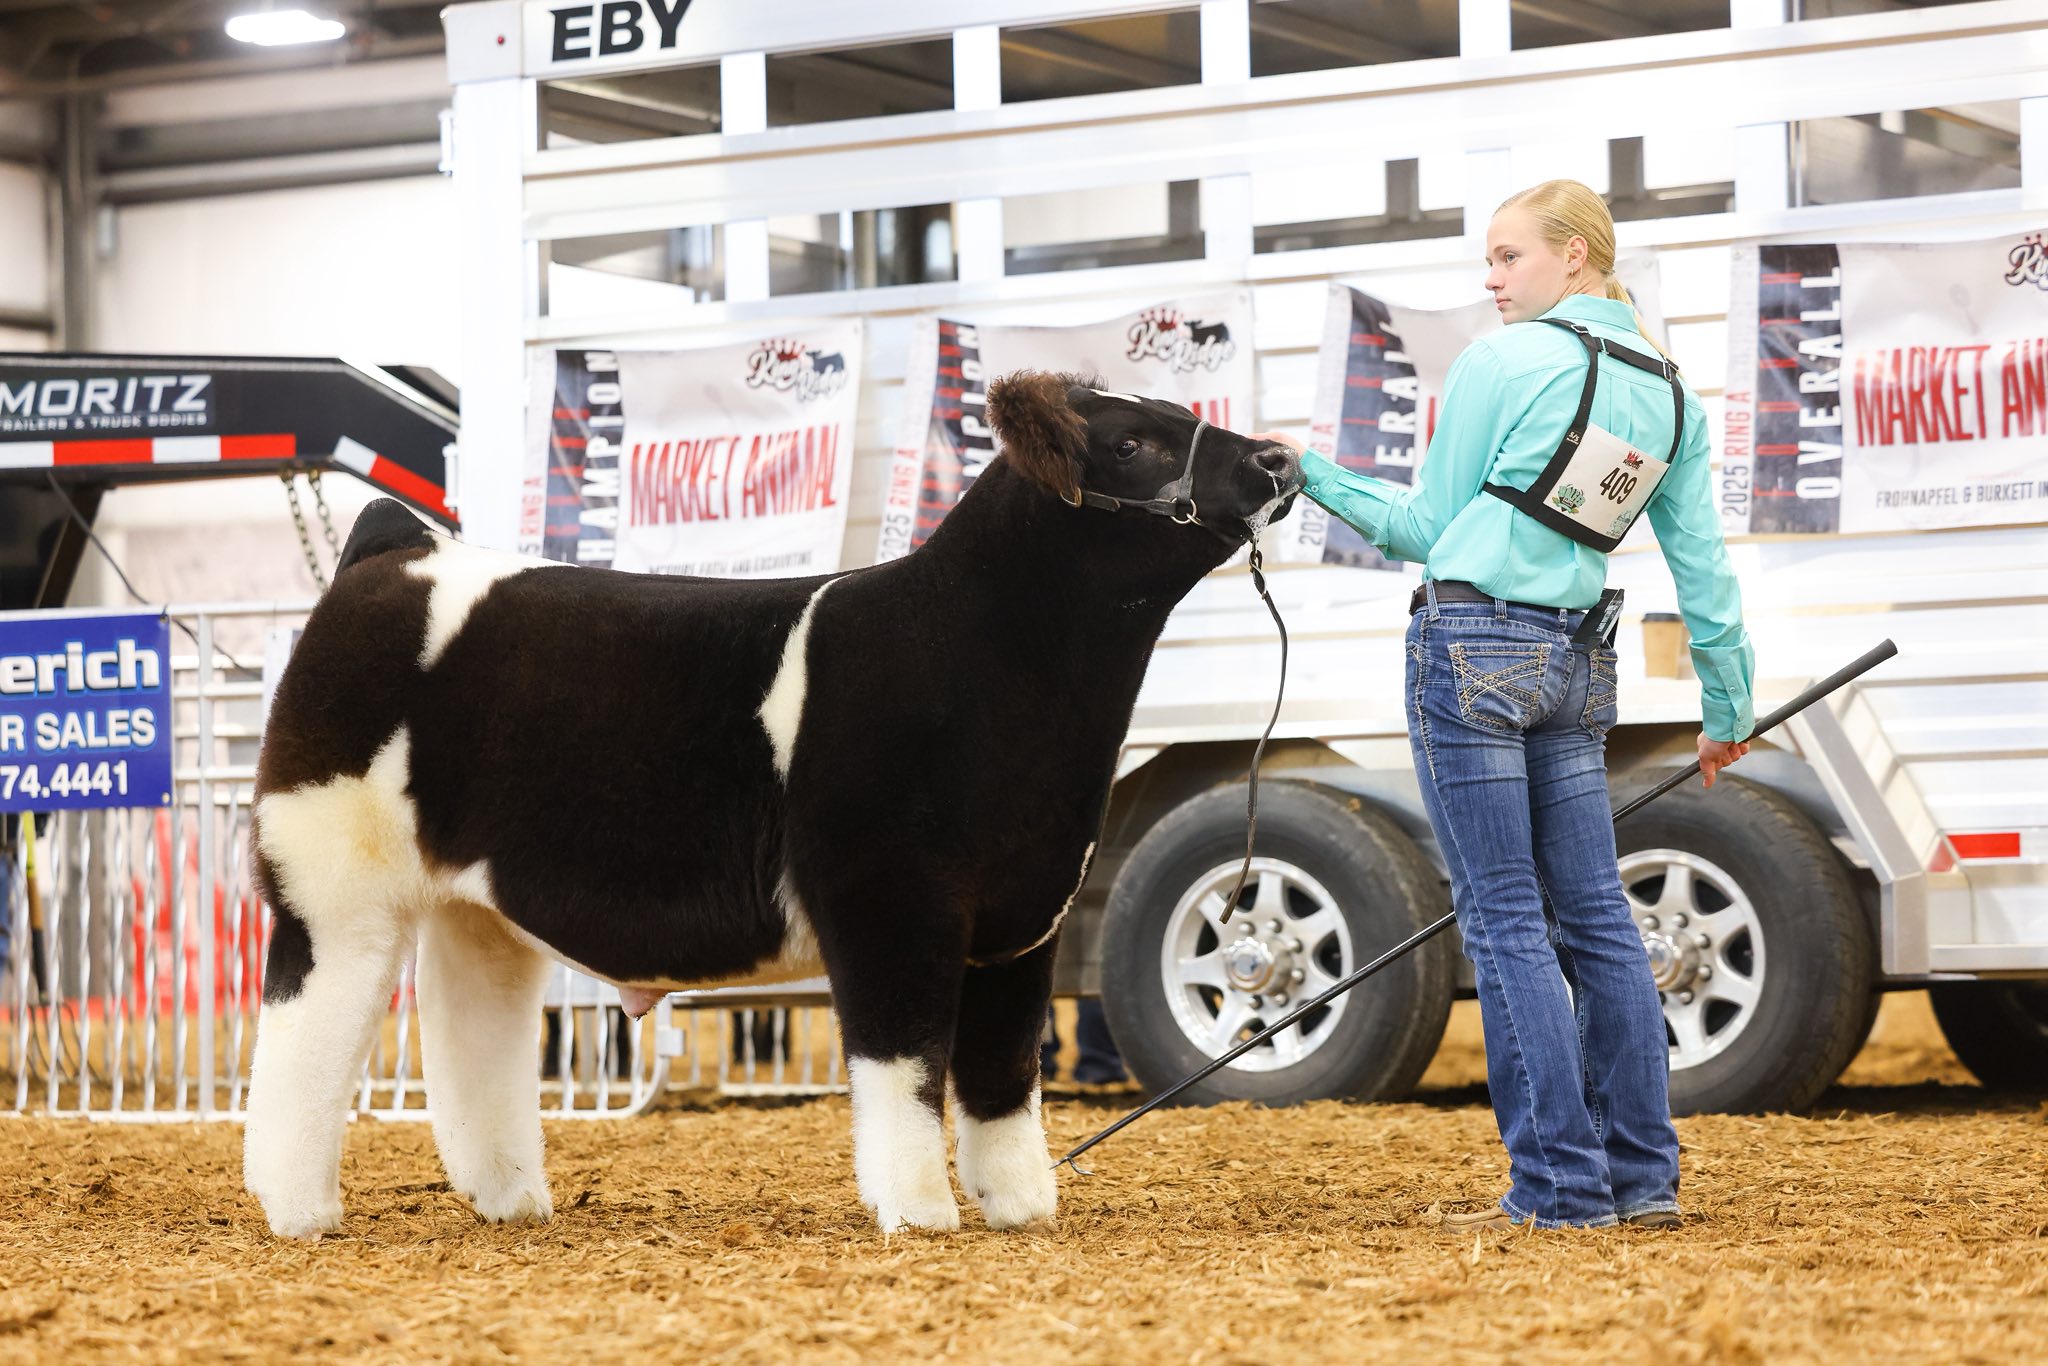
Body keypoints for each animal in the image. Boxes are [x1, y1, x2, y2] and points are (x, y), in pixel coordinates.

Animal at [241, 373, 1299, 1241]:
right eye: (1135, 443)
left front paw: (1021, 1207)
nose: (1276, 458)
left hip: (478, 906)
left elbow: (1002, 1075)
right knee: (303, 1038)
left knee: (475, 1037)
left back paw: (511, 1199)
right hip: (331, 881)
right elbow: (906, 1067)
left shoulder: (1023, 915)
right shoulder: (890, 902)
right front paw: (920, 1212)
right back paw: (299, 1211)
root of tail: (396, 549)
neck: (990, 658)